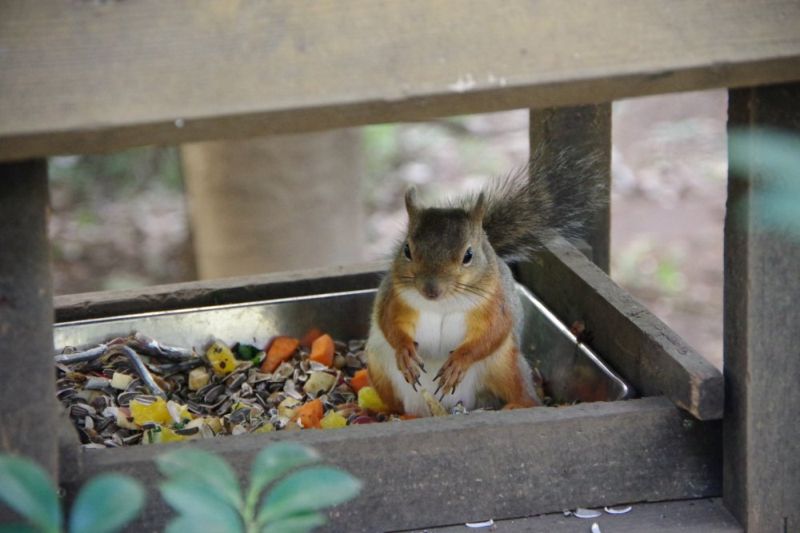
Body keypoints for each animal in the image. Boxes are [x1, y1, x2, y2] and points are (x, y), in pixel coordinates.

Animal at [366, 148, 604, 414]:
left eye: (468, 255)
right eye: (406, 250)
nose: (431, 290)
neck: (442, 303)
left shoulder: (495, 302)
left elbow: (493, 332)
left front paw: (460, 361)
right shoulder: (393, 298)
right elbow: (388, 323)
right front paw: (405, 351)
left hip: (506, 366)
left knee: (524, 392)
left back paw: (518, 405)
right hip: (378, 367)